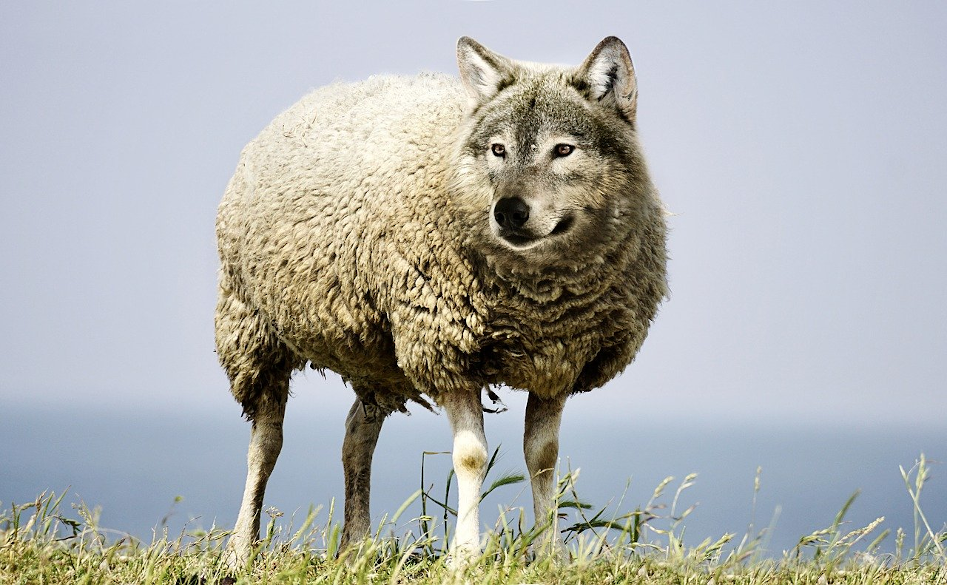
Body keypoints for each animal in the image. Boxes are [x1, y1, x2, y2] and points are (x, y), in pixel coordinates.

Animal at [215, 35, 668, 563]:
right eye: (498, 149)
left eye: (564, 150)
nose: (509, 212)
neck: (536, 300)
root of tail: (319, 94)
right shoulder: (445, 348)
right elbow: (471, 457)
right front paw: (467, 556)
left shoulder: (558, 360)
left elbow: (543, 457)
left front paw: (549, 553)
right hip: (252, 328)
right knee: (265, 443)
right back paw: (240, 549)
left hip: (377, 357)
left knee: (356, 437)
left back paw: (356, 546)